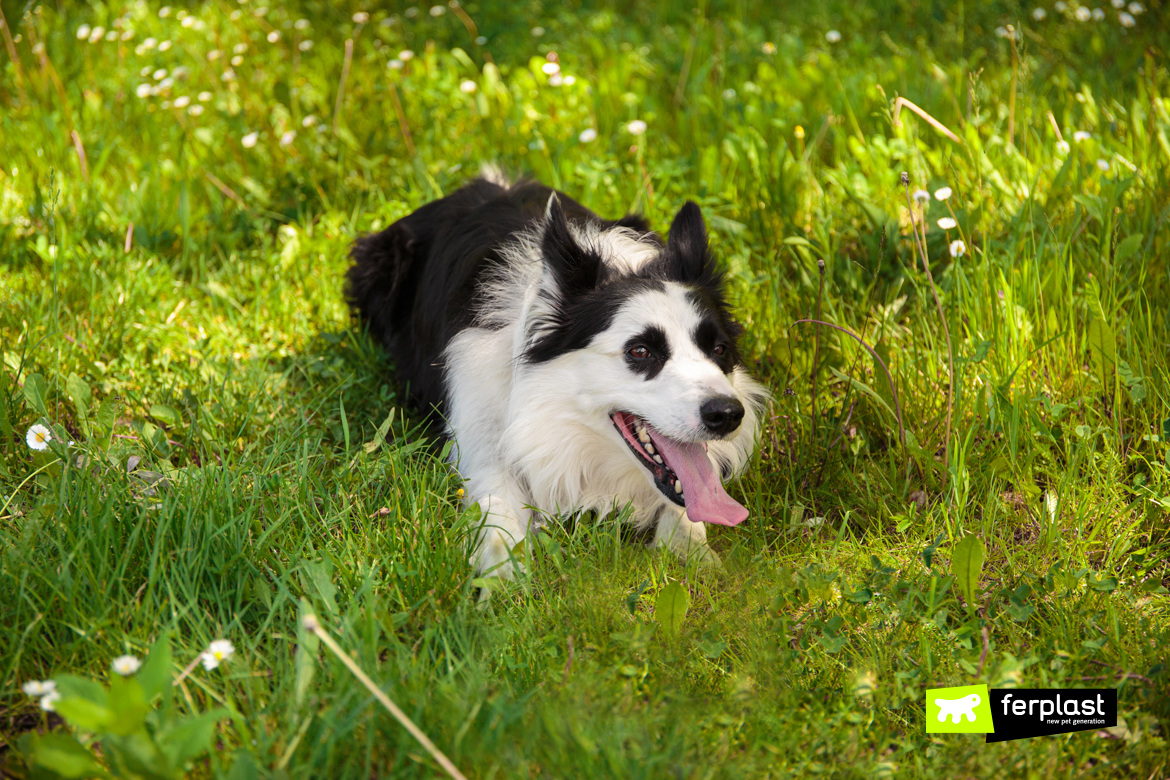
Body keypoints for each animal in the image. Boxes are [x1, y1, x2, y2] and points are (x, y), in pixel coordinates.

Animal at [346, 171, 767, 584]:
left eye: (719, 349)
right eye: (640, 351)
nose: (727, 415)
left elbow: (686, 512)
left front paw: (691, 552)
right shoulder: (480, 443)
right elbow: (498, 516)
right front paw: (501, 580)